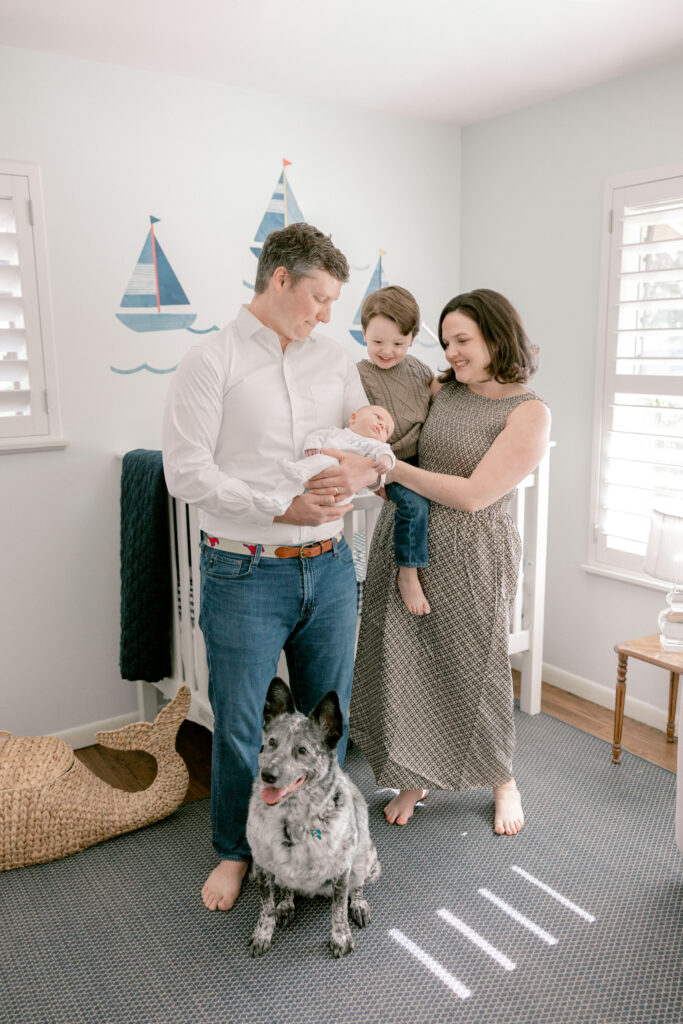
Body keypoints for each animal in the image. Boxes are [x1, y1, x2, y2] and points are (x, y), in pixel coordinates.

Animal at [246, 677, 380, 958]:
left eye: (302, 750)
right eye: (271, 742)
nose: (267, 775)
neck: (293, 819)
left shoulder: (341, 870)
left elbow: (338, 911)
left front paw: (341, 938)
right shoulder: (263, 867)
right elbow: (266, 907)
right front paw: (263, 933)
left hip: (364, 858)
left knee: (358, 886)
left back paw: (359, 904)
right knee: (285, 889)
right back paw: (286, 905)